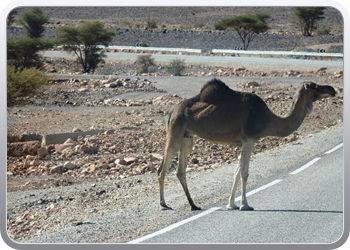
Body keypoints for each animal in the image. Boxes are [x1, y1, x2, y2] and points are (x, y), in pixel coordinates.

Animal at [157, 78, 334, 211]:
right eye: (315, 87)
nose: (332, 90)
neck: (268, 119)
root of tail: (172, 111)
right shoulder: (249, 140)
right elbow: (244, 172)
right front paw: (245, 204)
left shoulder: (245, 142)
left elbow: (236, 171)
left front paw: (231, 204)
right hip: (175, 130)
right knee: (162, 168)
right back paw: (163, 205)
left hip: (187, 136)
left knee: (180, 171)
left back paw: (193, 205)